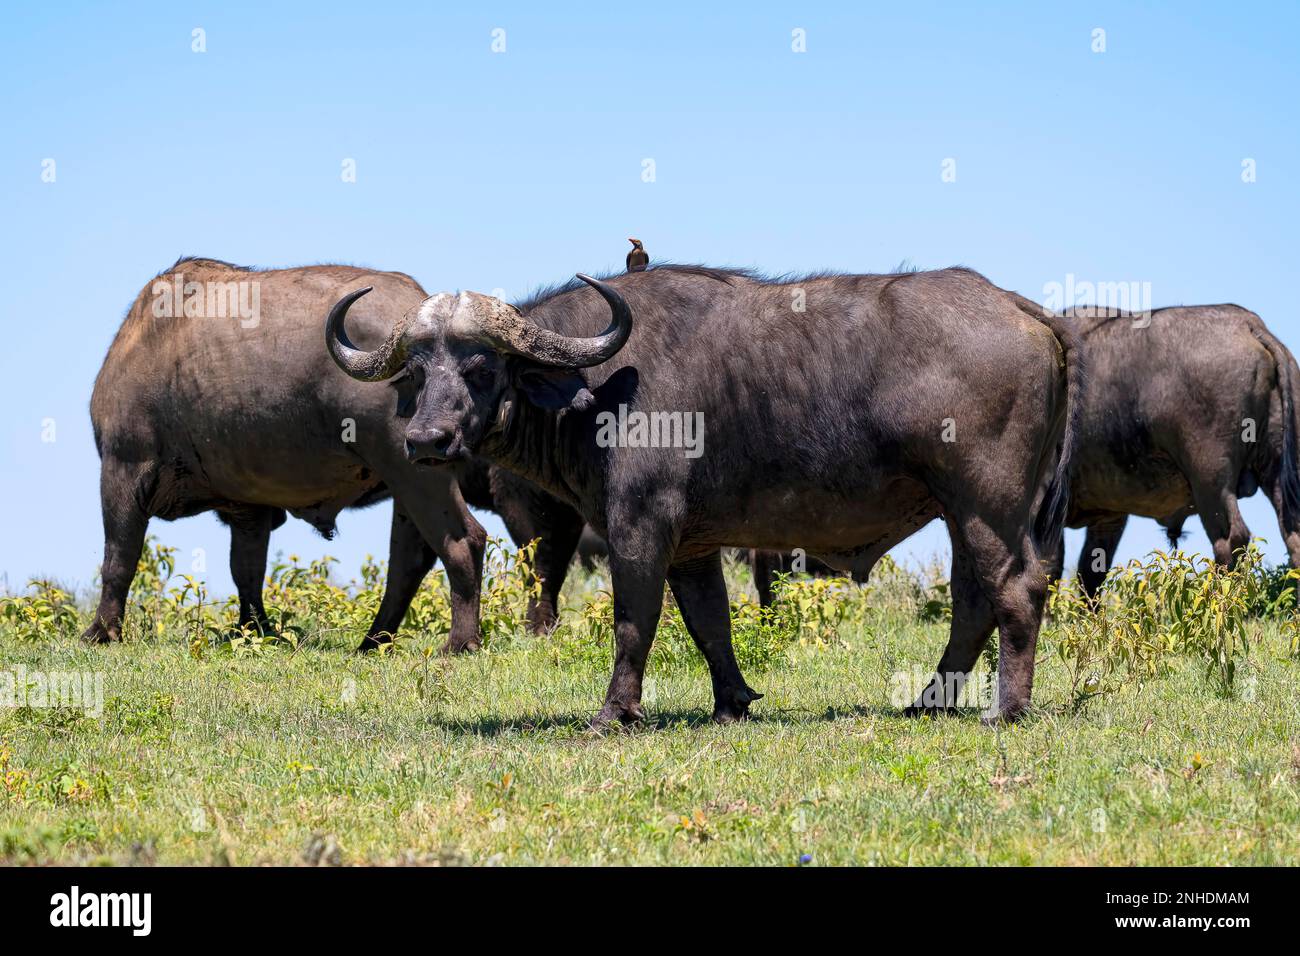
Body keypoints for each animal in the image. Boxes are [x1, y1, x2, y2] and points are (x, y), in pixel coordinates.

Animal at [330, 265, 1081, 723]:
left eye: (482, 368)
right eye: (417, 372)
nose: (426, 440)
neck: (599, 389)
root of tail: (1025, 309)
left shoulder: (639, 528)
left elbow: (635, 622)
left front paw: (614, 713)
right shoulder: (693, 544)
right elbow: (708, 621)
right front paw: (732, 703)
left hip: (987, 504)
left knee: (1017, 589)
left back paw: (1005, 709)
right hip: (962, 511)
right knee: (974, 600)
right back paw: (929, 700)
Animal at [1060, 306, 1294, 595]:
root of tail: (1246, 323)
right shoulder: (1109, 517)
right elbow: (1090, 574)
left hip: (1210, 479)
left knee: (1230, 539)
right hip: (1274, 467)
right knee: (1292, 534)